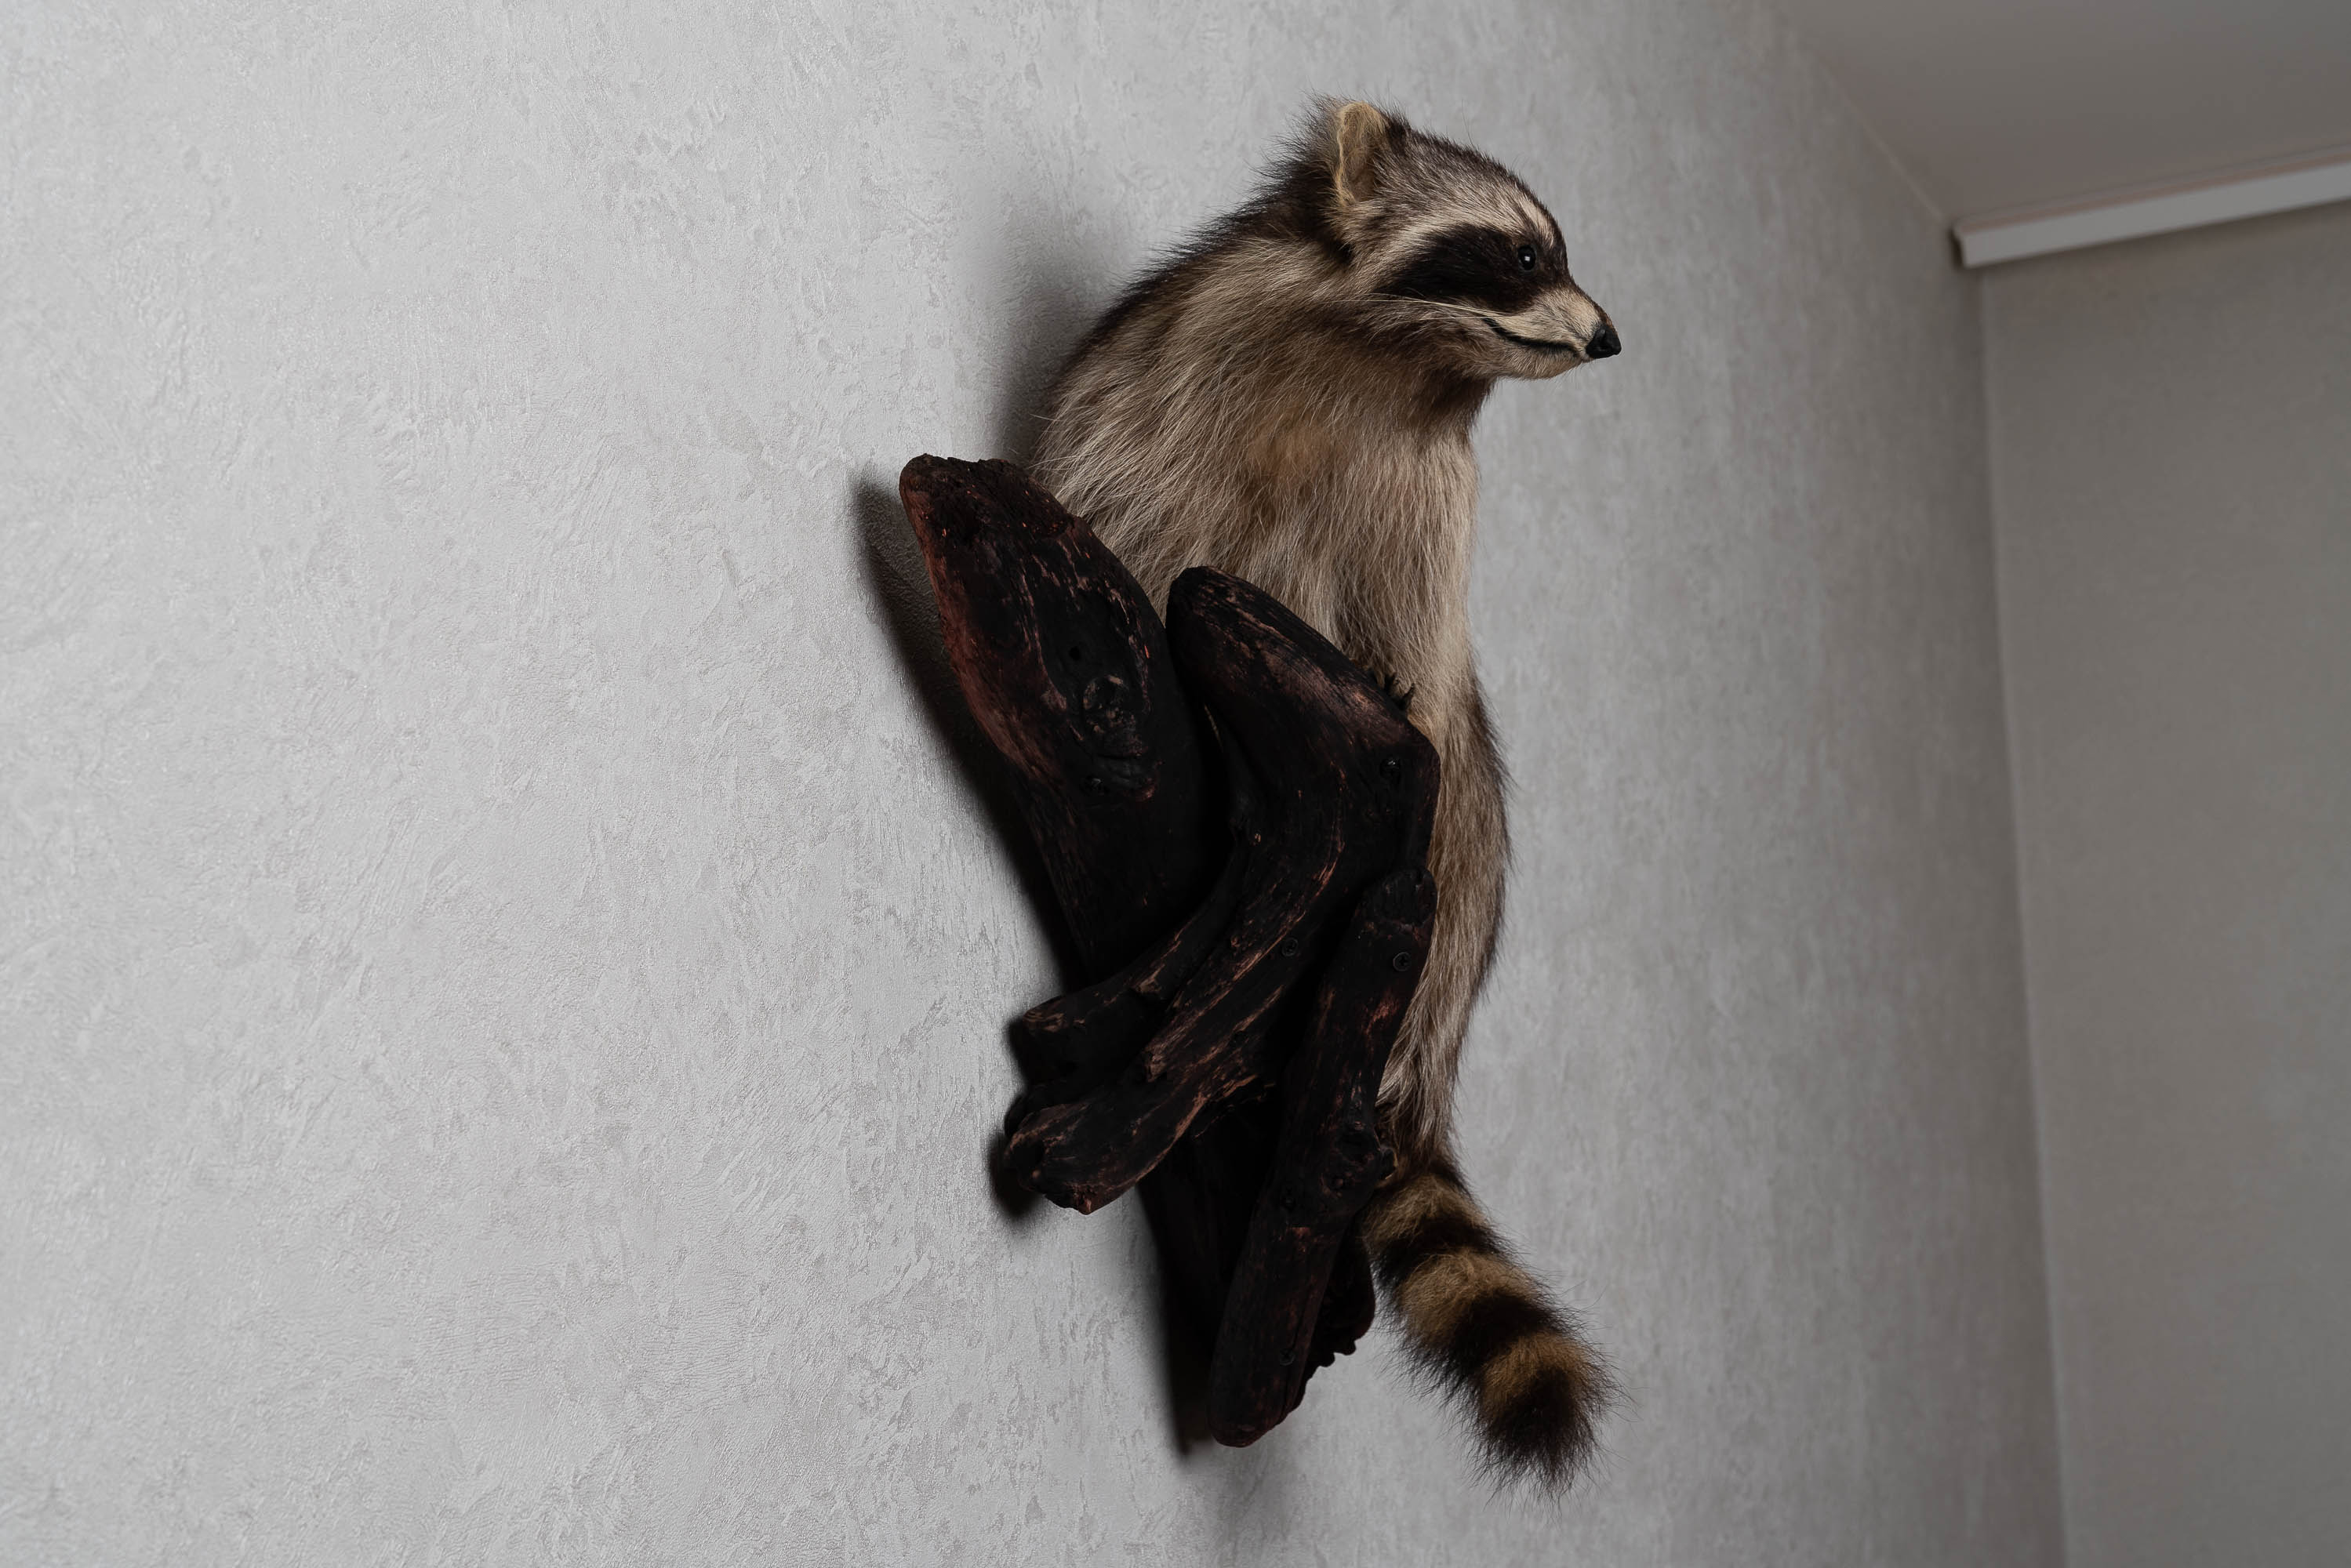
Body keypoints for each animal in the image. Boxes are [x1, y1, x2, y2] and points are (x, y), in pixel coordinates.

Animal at [1032, 100, 1620, 1485]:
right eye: (1522, 255)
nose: (1612, 333)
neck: (1394, 363)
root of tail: (1430, 1061)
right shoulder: (1166, 376)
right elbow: (1117, 493)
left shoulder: (1430, 493)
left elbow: (1418, 635)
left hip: (1454, 860)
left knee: (1457, 761)